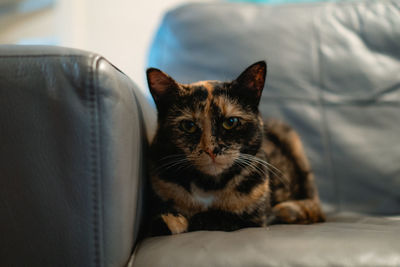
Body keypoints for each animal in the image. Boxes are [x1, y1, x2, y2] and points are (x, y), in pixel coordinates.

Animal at [147, 61, 324, 237]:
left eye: (230, 122)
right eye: (188, 126)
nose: (211, 150)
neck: (208, 186)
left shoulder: (254, 218)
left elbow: (222, 218)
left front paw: (197, 219)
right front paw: (170, 221)